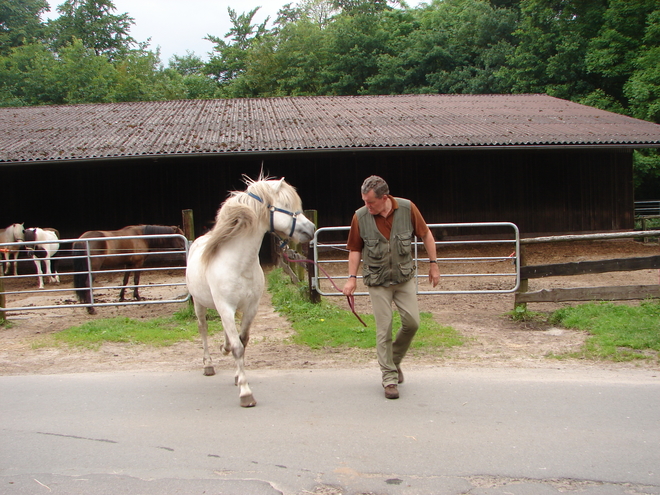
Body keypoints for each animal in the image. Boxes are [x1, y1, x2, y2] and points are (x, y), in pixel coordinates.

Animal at [184, 176, 316, 408]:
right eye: (285, 205)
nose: (311, 228)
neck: (238, 264)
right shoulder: (225, 307)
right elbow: (237, 347)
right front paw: (246, 393)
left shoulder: (251, 307)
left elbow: (242, 341)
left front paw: (239, 376)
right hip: (200, 305)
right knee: (203, 329)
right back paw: (208, 364)